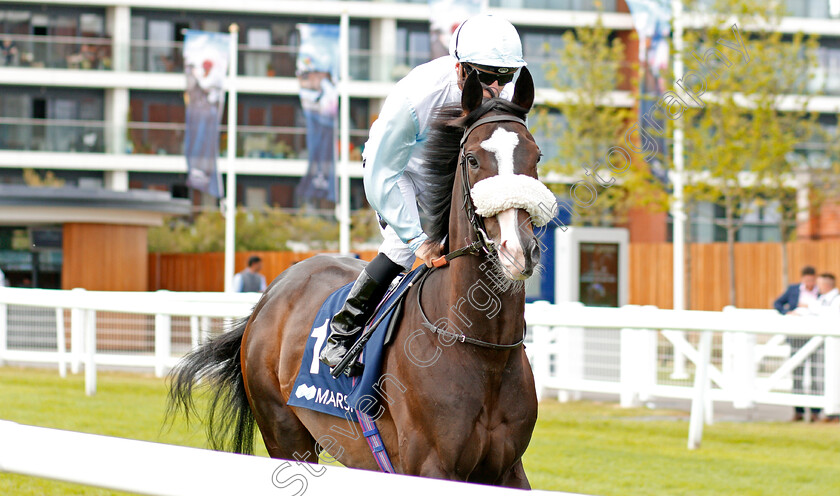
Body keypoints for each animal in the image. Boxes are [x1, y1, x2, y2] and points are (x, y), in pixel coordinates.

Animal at [168, 67, 556, 488]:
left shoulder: (508, 469)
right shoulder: (431, 466)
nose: (518, 249)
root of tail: (271, 294)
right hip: (283, 431)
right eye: (471, 159)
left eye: (536, 155)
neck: (483, 350)